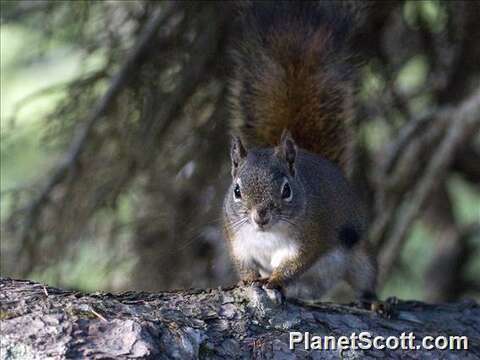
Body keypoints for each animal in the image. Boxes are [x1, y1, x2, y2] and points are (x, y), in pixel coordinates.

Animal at [222, 1, 378, 304]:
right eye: (236, 190)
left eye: (286, 190)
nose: (260, 215)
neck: (267, 234)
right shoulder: (236, 239)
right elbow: (243, 264)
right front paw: (247, 280)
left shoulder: (310, 237)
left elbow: (294, 264)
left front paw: (275, 281)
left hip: (359, 257)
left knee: (366, 279)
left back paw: (377, 303)